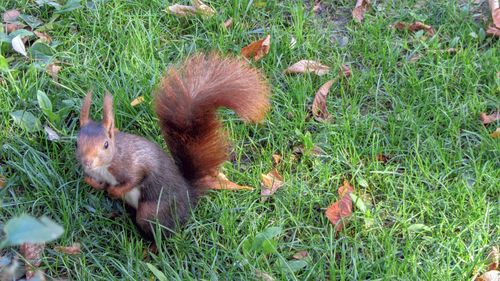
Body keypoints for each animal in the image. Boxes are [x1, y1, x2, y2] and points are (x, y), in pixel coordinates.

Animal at [75, 53, 270, 238]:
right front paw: (94, 183)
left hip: (152, 211)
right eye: (77, 142)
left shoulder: (132, 165)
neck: (106, 165)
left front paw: (115, 191)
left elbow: (136, 178)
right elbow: (96, 182)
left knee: (164, 231)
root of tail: (188, 194)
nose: (87, 162)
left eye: (106, 145)